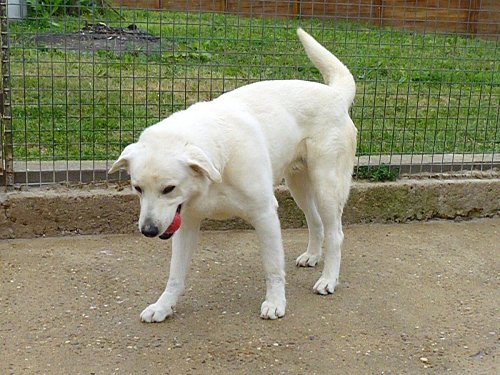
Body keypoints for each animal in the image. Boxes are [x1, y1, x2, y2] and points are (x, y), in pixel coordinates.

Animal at [110, 30, 356, 324]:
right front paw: (163, 306)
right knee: (315, 221)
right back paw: (312, 256)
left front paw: (275, 303)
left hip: (325, 187)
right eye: (137, 188)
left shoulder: (265, 214)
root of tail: (335, 95)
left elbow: (273, 268)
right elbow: (175, 276)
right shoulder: (187, 223)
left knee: (335, 233)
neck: (216, 168)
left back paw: (328, 279)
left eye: (169, 188)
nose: (148, 231)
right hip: (299, 187)